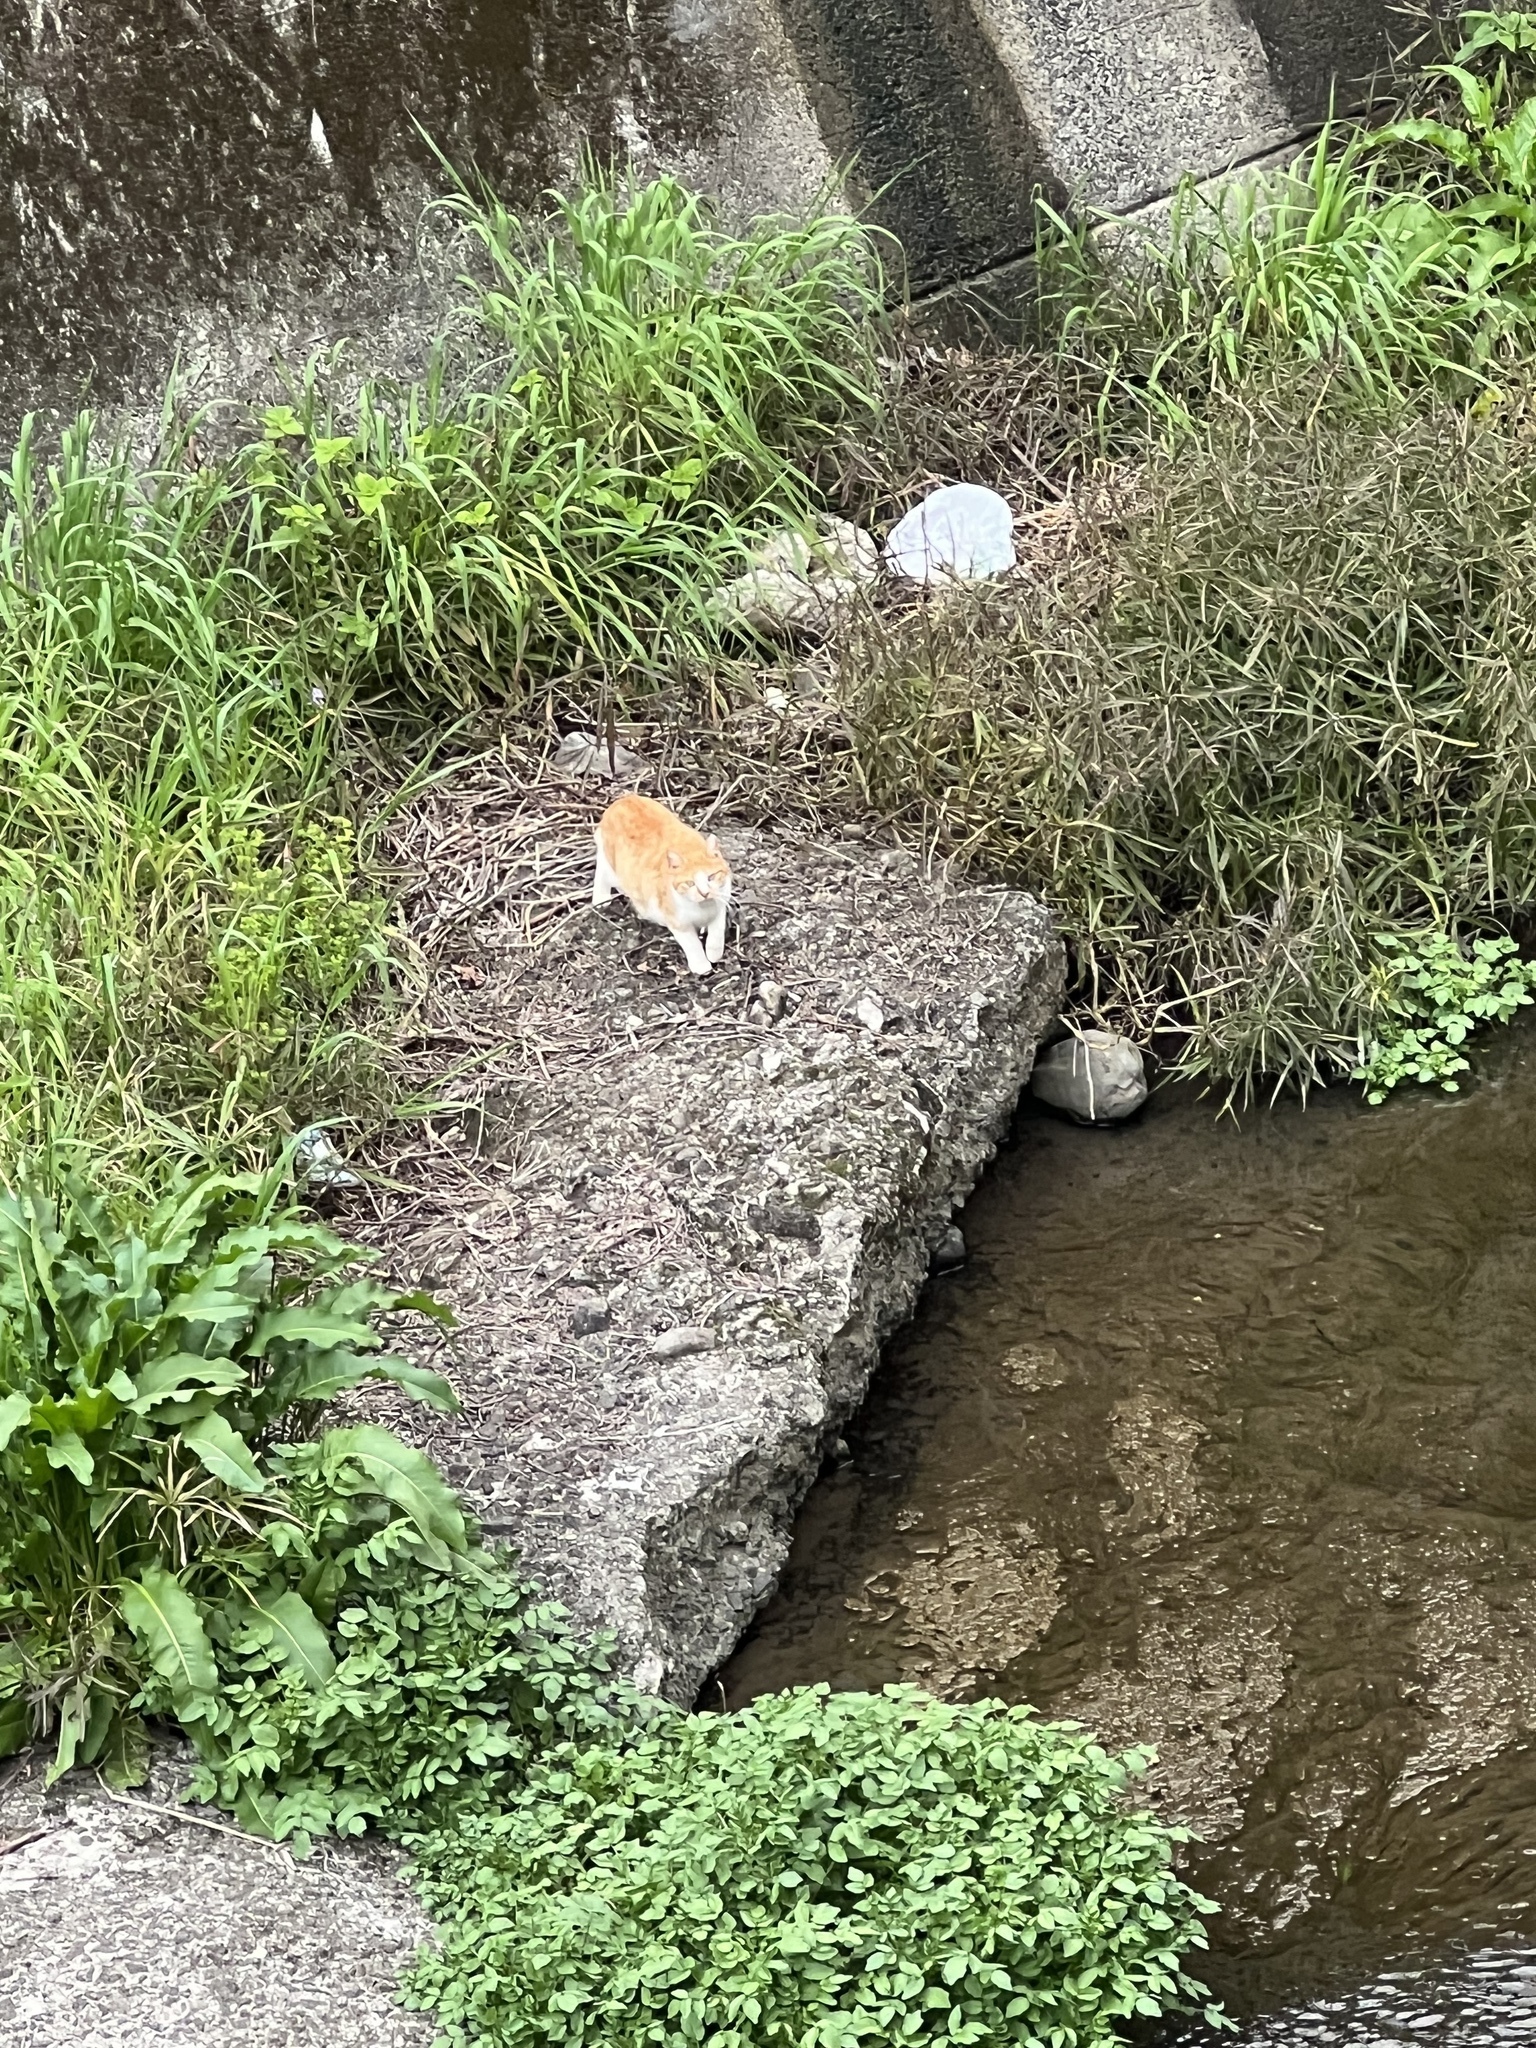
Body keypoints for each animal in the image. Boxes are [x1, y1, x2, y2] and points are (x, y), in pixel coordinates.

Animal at [593, 790, 737, 974]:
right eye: (690, 883)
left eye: (711, 877)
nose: (704, 893)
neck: (703, 908)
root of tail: (624, 800)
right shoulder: (679, 924)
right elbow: (692, 944)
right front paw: (701, 965)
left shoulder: (721, 904)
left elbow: (717, 933)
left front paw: (714, 954)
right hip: (612, 867)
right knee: (601, 872)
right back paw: (601, 898)